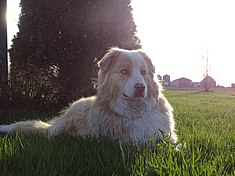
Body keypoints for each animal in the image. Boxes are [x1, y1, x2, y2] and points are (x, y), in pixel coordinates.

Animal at [0, 47, 176, 144]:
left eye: (143, 72)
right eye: (124, 71)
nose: (140, 87)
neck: (134, 111)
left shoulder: (167, 137)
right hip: (68, 119)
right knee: (50, 135)